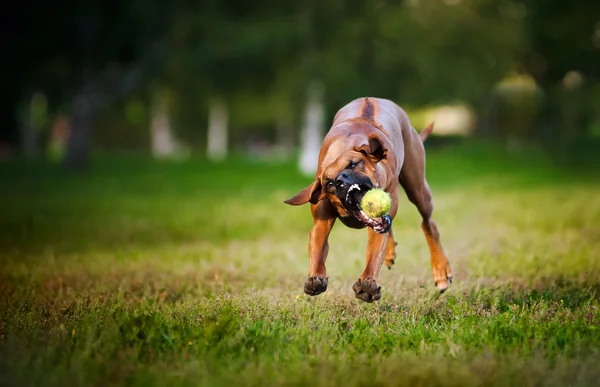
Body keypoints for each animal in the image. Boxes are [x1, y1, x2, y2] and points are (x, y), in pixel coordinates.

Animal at [284, 97, 452, 304]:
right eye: (329, 183)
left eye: (354, 164)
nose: (340, 181)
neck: (345, 146)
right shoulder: (320, 223)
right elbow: (318, 246)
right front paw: (316, 277)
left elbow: (373, 255)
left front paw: (367, 285)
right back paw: (390, 251)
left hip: (418, 188)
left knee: (428, 224)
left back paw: (441, 272)